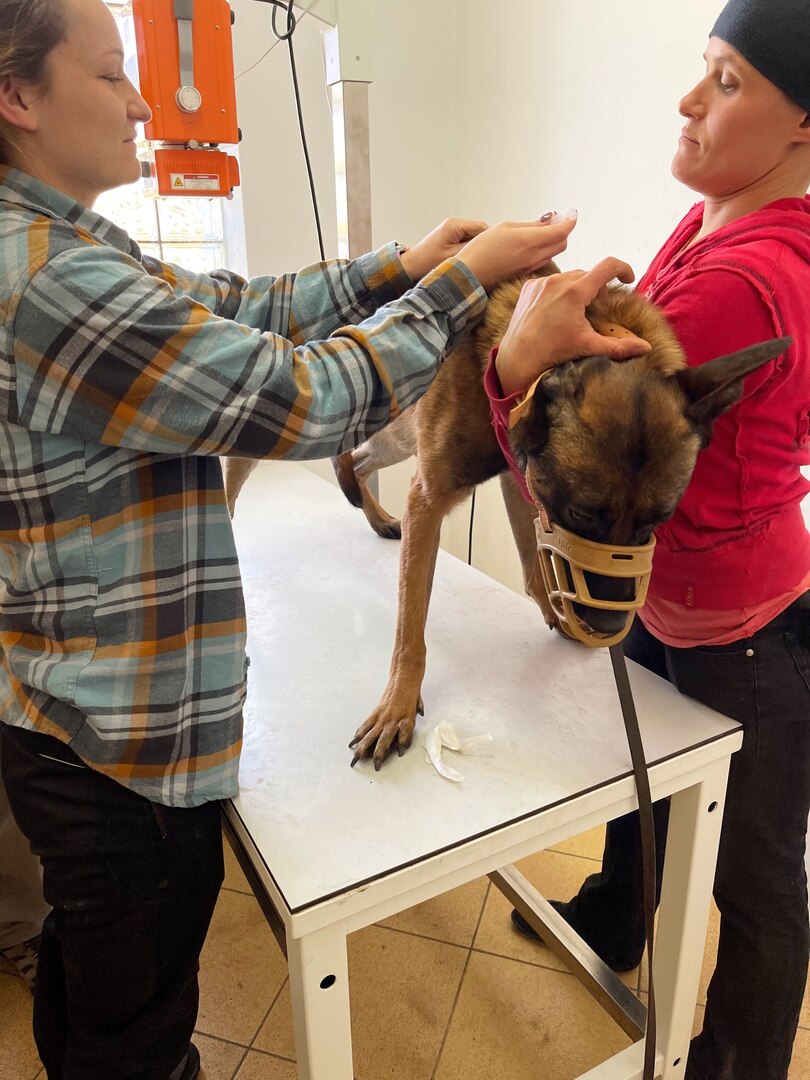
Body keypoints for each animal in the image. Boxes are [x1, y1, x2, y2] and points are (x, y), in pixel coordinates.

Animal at [220, 274, 786, 773]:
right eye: (583, 513)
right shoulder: (430, 499)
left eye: (658, 520)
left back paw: (373, 512)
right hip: (296, 426)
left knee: (355, 460)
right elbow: (410, 627)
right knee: (240, 470)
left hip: (394, 433)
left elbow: (533, 561)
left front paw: (557, 616)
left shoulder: (520, 480)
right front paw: (398, 703)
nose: (607, 630)